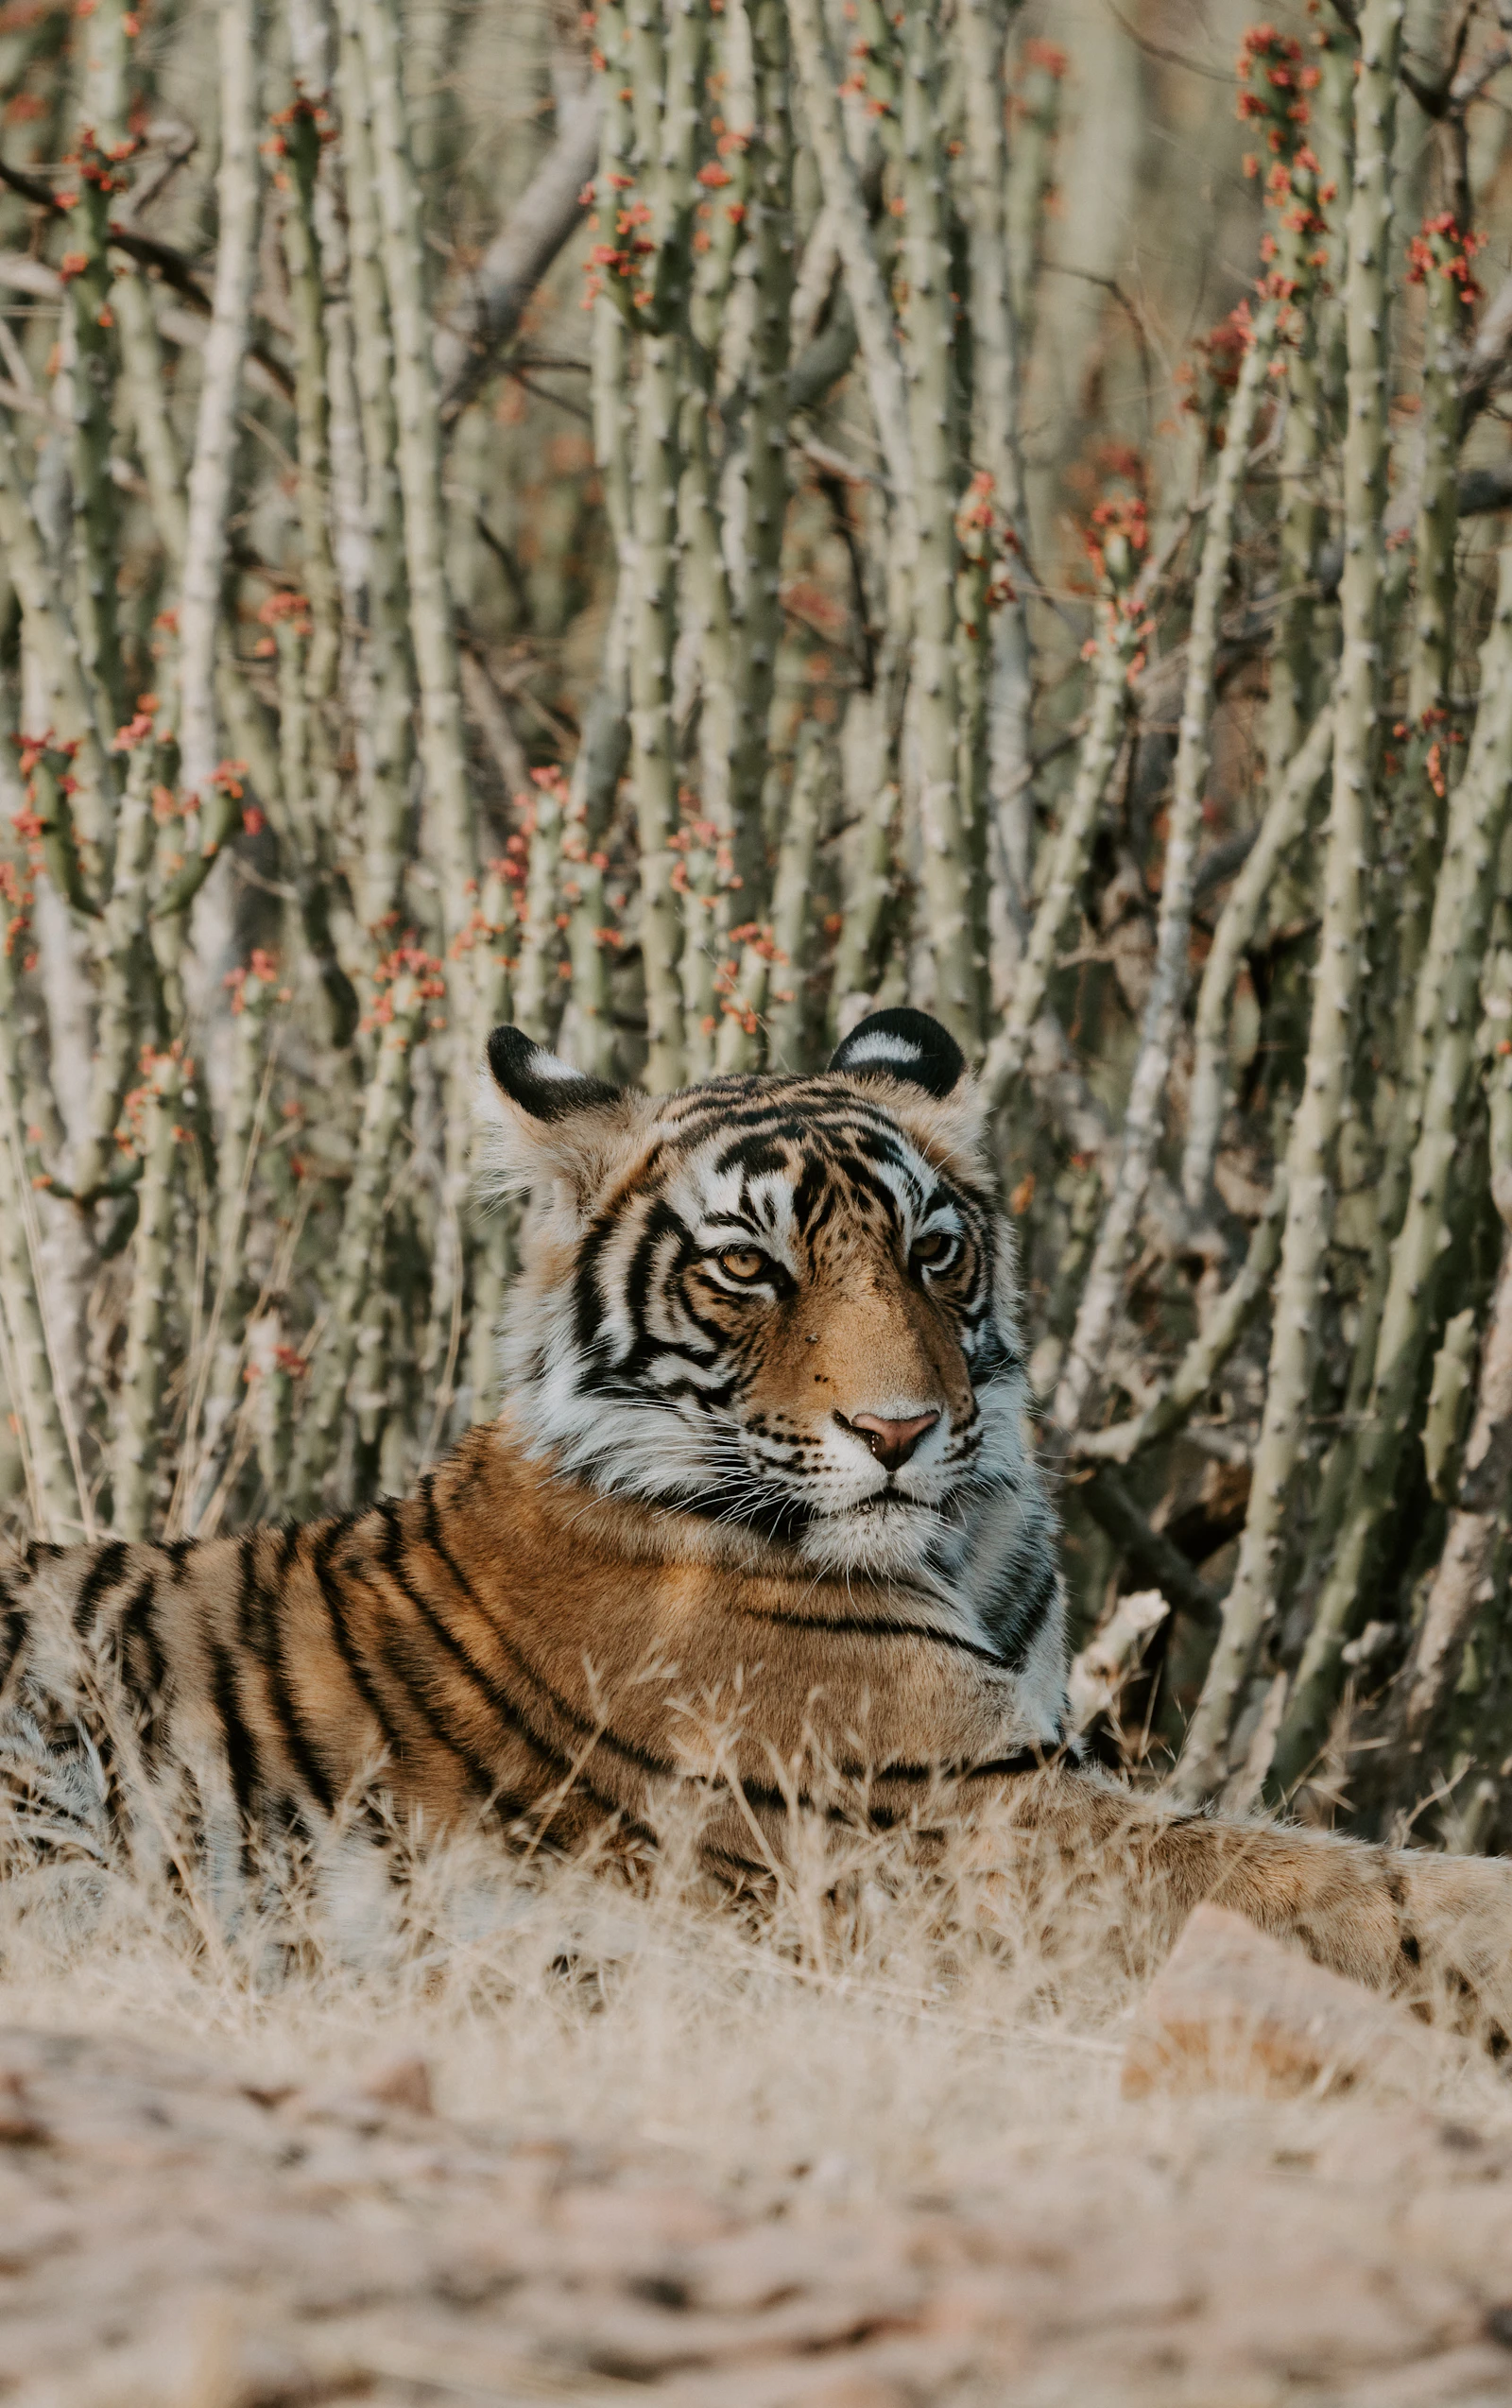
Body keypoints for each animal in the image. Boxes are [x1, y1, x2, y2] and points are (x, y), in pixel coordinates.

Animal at [3, 1005, 1511, 2008]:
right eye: (746, 1268)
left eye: (933, 1252)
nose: (900, 1430)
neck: (962, 1545)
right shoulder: (985, 1824)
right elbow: (1351, 1887)